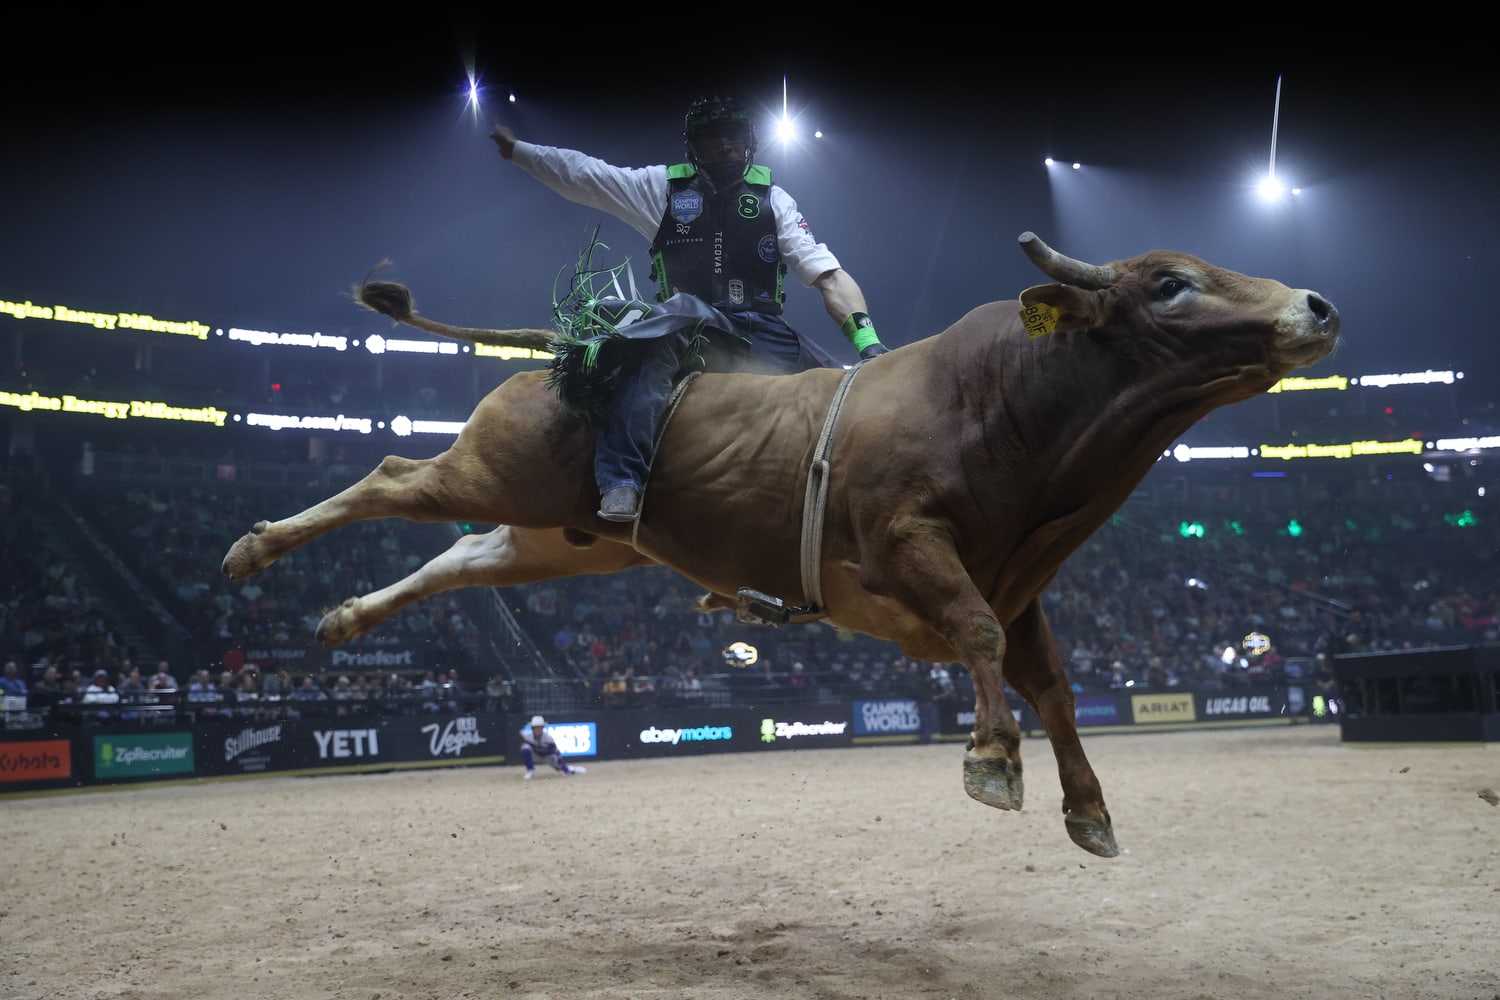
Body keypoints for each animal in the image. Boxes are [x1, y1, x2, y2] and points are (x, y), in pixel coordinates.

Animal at [219, 230, 1338, 857]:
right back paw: (254, 552)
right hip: (498, 468)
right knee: (393, 479)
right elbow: (977, 637)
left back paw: (342, 616)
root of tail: (578, 344)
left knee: (466, 554)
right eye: (1171, 284)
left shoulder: (1024, 583)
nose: (1316, 304)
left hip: (568, 540)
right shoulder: (910, 546)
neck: (1003, 401)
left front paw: (1090, 808)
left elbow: (1055, 685)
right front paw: (990, 759)